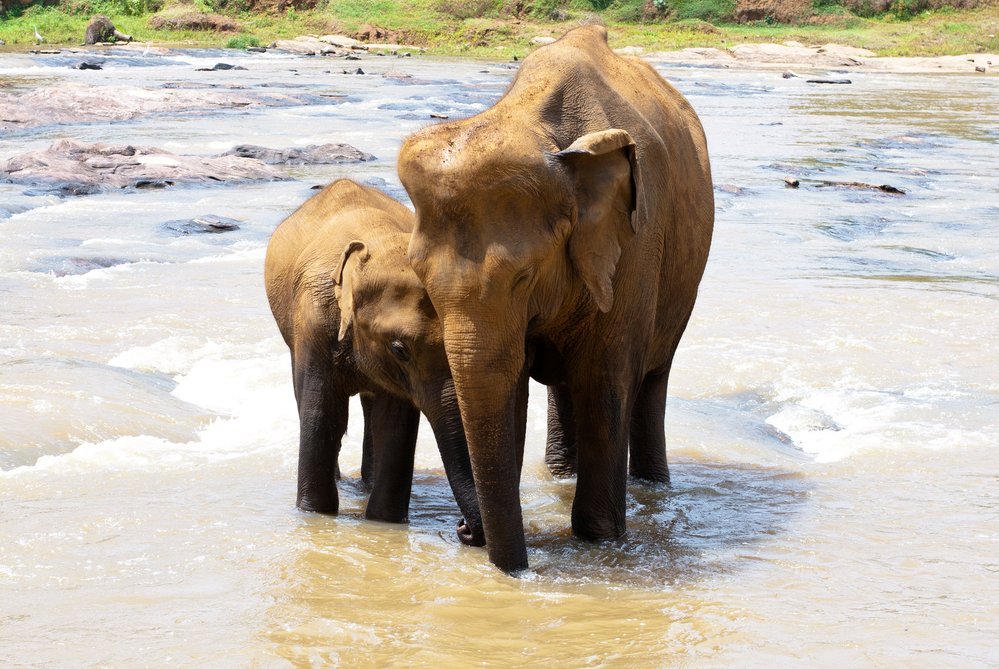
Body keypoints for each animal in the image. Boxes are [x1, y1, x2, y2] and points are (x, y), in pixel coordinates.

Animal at [266, 180, 484, 544]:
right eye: (399, 350)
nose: (463, 527)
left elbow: (395, 424)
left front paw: (384, 521)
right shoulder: (314, 323)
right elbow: (322, 415)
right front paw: (315, 513)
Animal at [394, 24, 716, 568]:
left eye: (523, 277)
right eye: (421, 280)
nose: (462, 530)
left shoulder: (636, 246)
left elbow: (606, 382)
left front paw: (601, 540)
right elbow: (508, 387)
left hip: (682, 281)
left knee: (652, 378)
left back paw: (652, 485)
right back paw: (560, 473)